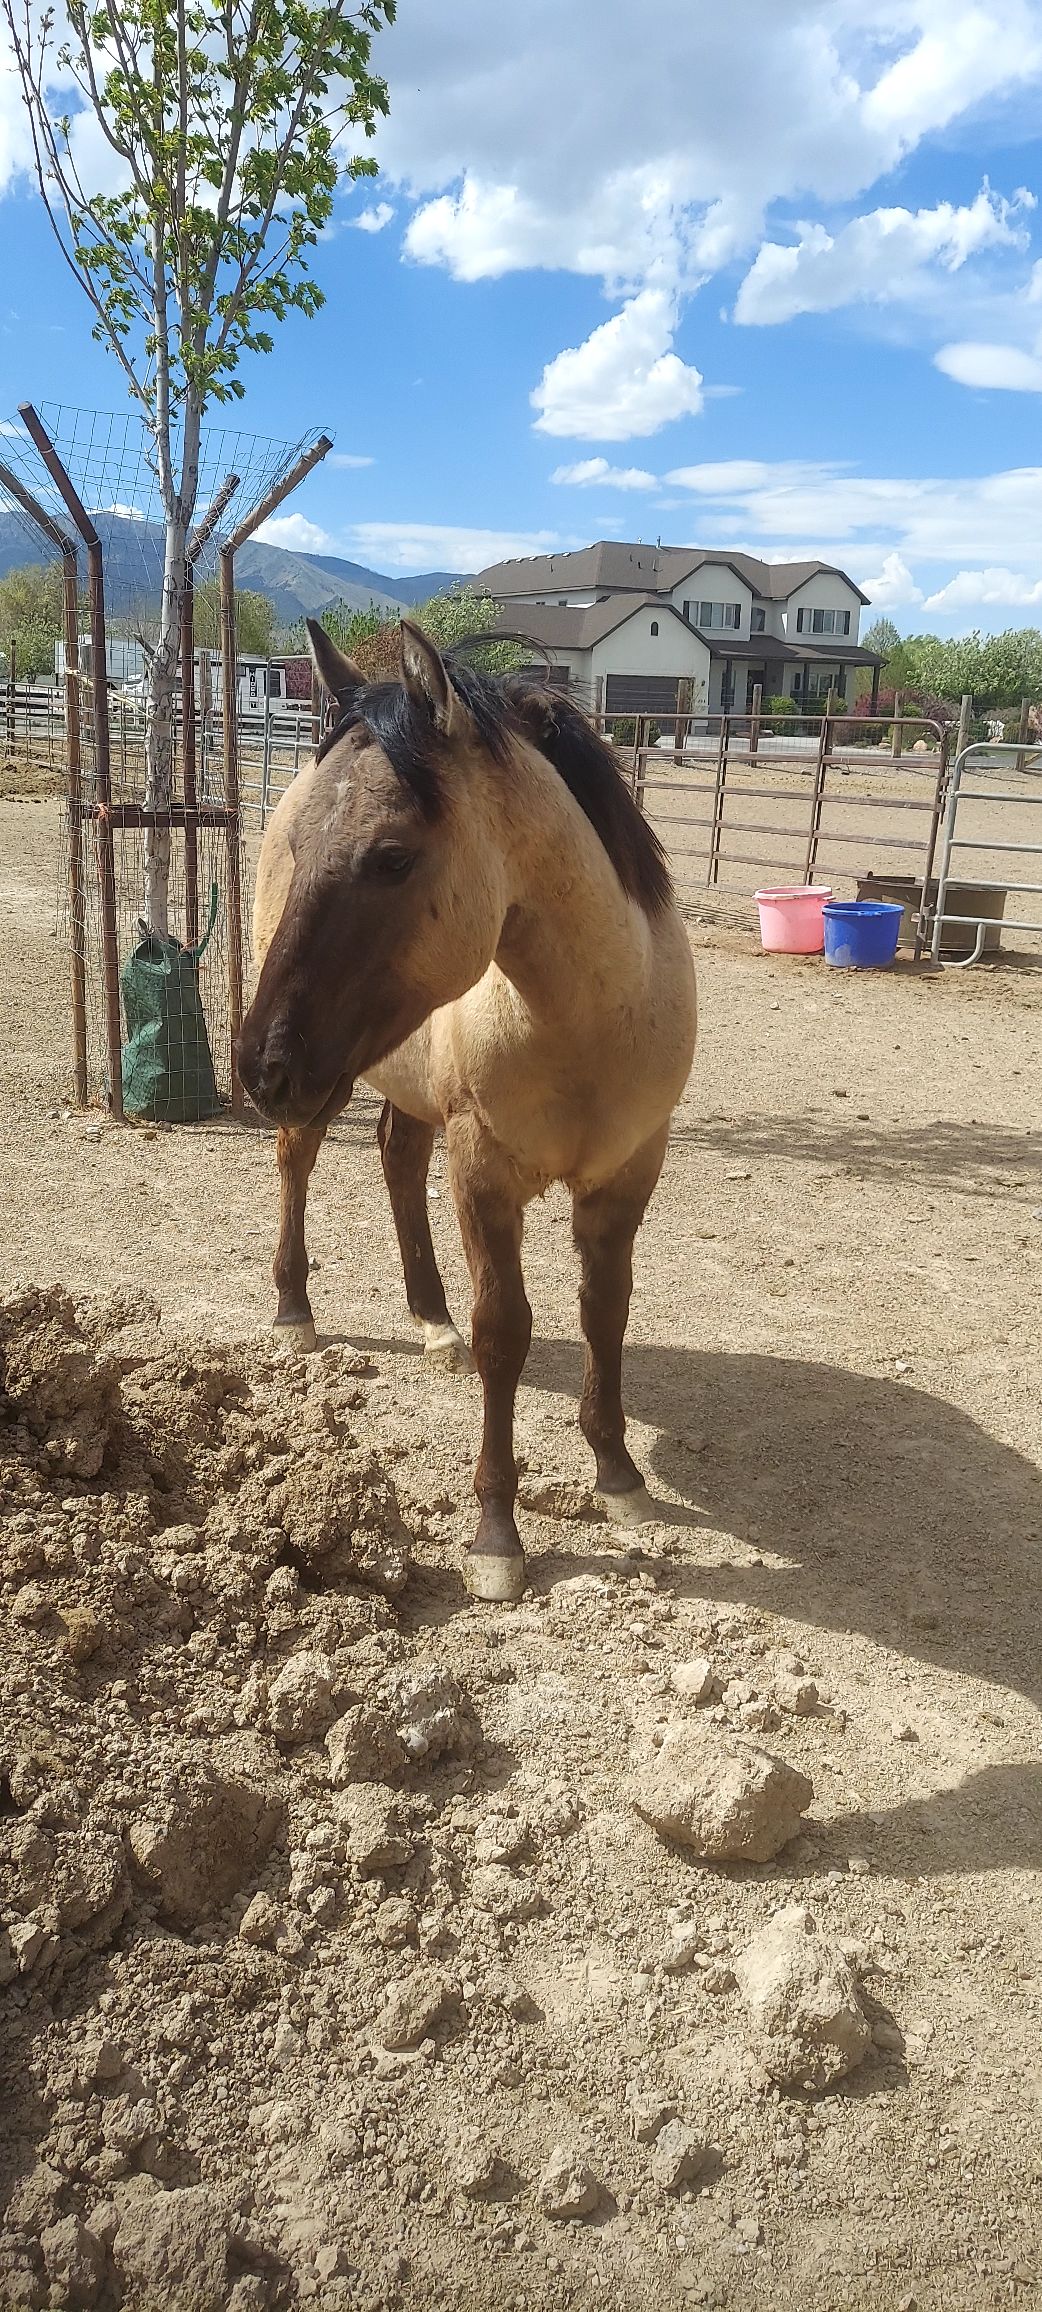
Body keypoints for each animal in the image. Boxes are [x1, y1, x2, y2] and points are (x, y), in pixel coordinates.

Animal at [235, 619, 697, 1602]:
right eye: (303, 853)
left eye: (393, 856)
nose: (260, 1065)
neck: (586, 1023)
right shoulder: (485, 1174)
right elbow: (505, 1333)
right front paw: (497, 1535)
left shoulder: (627, 1175)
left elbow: (606, 1312)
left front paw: (618, 1474)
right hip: (332, 1089)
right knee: (297, 1160)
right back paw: (294, 1309)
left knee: (397, 1161)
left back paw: (429, 1319)